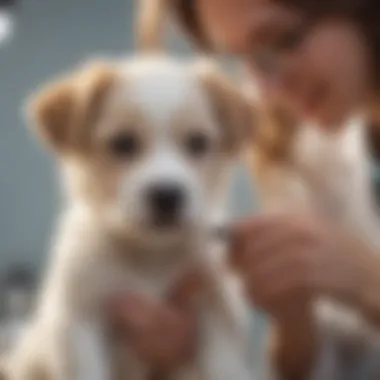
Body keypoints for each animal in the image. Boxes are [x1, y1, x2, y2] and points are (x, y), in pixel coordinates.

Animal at [3, 4, 255, 380]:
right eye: (123, 143)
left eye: (198, 143)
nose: (167, 195)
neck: (148, 255)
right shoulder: (79, 321)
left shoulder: (218, 310)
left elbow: (223, 368)